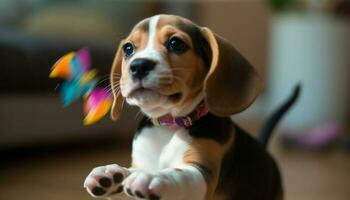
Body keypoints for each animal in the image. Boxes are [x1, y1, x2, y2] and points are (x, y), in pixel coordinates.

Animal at [83, 14, 300, 200]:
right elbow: (131, 172)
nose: (139, 65)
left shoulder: (203, 172)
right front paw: (113, 175)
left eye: (175, 43)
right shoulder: (141, 161)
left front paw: (155, 177)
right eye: (128, 48)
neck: (168, 126)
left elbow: (178, 174)